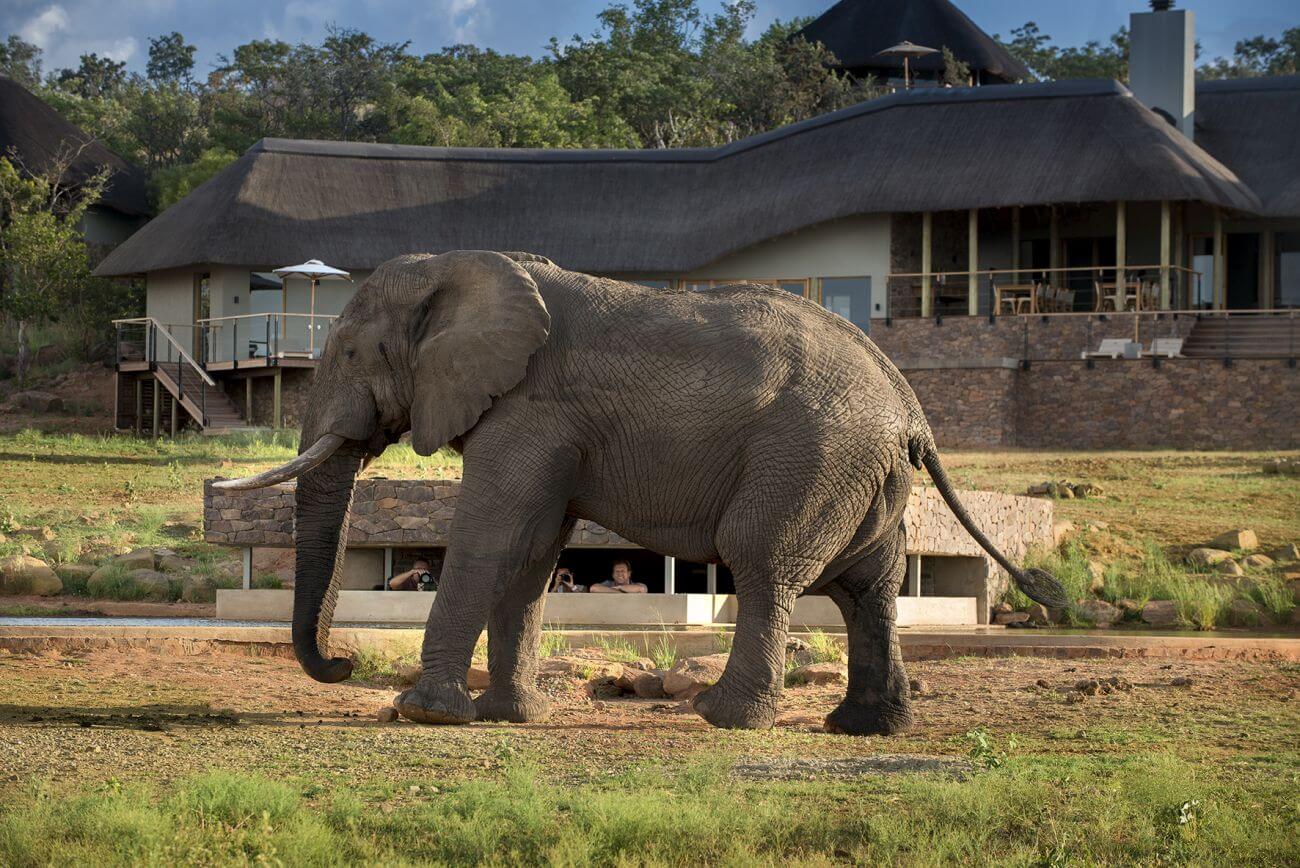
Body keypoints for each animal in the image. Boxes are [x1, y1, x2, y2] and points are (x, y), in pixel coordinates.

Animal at [215, 249, 1066, 732]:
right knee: (870, 587)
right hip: (865, 474)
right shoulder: (547, 427)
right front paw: (510, 718)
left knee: (764, 562)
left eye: (351, 352)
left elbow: (495, 532)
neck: (467, 270)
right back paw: (860, 729)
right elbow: (531, 552)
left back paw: (722, 719)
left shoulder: (532, 410)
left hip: (812, 456)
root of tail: (911, 408)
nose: (343, 665)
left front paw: (426, 713)